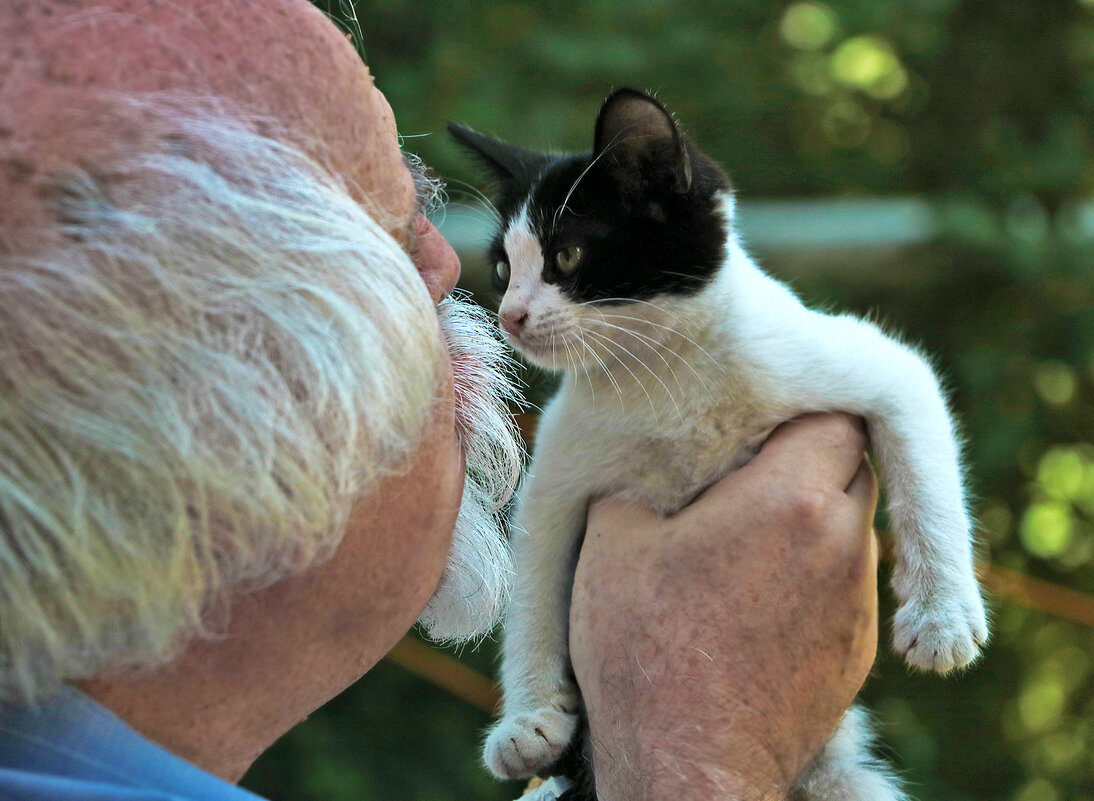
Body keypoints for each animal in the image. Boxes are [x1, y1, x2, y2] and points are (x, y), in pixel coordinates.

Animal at [448, 89, 988, 800]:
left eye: (566, 257)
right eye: (504, 268)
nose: (510, 316)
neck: (665, 373)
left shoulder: (872, 367)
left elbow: (925, 466)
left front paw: (942, 617)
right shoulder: (560, 474)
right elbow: (535, 588)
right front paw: (530, 720)